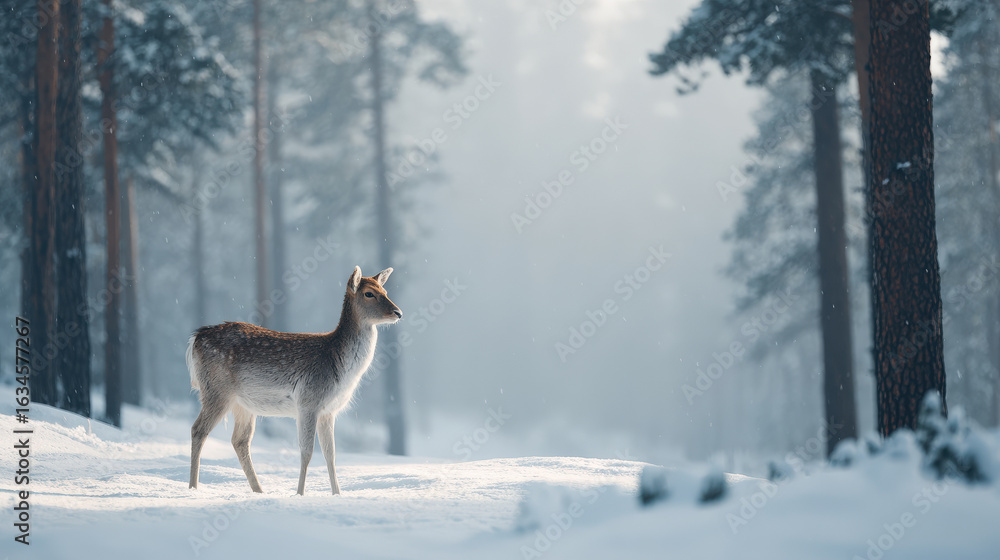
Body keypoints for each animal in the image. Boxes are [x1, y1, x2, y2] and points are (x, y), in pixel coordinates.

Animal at [187, 266, 402, 495]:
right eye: (369, 293)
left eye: (385, 291)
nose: (398, 312)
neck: (339, 367)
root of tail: (195, 339)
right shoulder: (308, 401)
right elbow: (307, 451)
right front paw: (299, 493)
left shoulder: (328, 411)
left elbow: (331, 454)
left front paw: (337, 494)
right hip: (216, 390)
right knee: (198, 430)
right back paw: (193, 488)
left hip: (242, 404)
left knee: (239, 440)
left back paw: (259, 490)